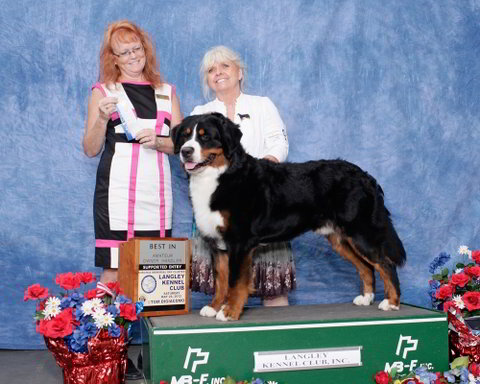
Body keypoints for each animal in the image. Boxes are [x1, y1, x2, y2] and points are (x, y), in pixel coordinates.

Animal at [172, 113, 404, 320]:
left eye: (205, 137)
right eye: (184, 135)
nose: (186, 151)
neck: (220, 176)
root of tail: (365, 176)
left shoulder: (239, 241)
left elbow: (235, 282)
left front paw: (229, 312)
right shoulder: (218, 245)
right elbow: (221, 281)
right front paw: (214, 307)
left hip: (361, 232)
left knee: (385, 264)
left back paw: (391, 302)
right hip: (340, 239)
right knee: (366, 267)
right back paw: (366, 298)